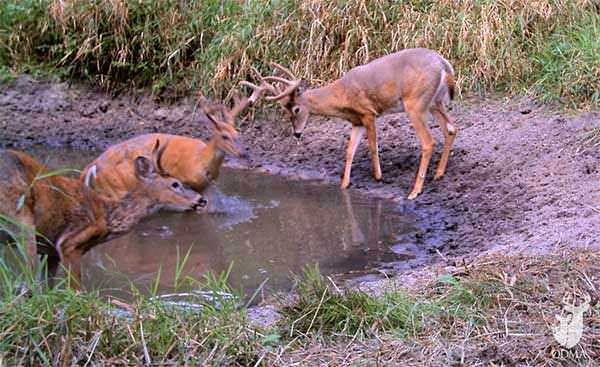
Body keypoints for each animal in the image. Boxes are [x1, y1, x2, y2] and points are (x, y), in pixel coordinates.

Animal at [0, 142, 206, 290]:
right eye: (175, 184)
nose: (201, 199)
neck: (107, 216)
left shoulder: (50, 251)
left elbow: (47, 288)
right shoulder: (69, 242)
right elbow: (75, 290)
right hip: (22, 218)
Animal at [80, 81, 270, 201]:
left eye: (237, 133)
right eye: (224, 136)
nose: (244, 153)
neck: (200, 160)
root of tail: (88, 171)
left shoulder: (205, 186)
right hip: (116, 189)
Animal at [262, 48, 454, 201]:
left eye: (296, 109)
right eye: (285, 111)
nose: (297, 133)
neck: (342, 94)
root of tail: (443, 64)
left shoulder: (368, 113)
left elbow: (372, 146)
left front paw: (378, 176)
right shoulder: (357, 122)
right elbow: (349, 151)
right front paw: (344, 184)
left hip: (415, 103)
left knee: (429, 141)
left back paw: (415, 191)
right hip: (435, 102)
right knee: (451, 129)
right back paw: (438, 174)